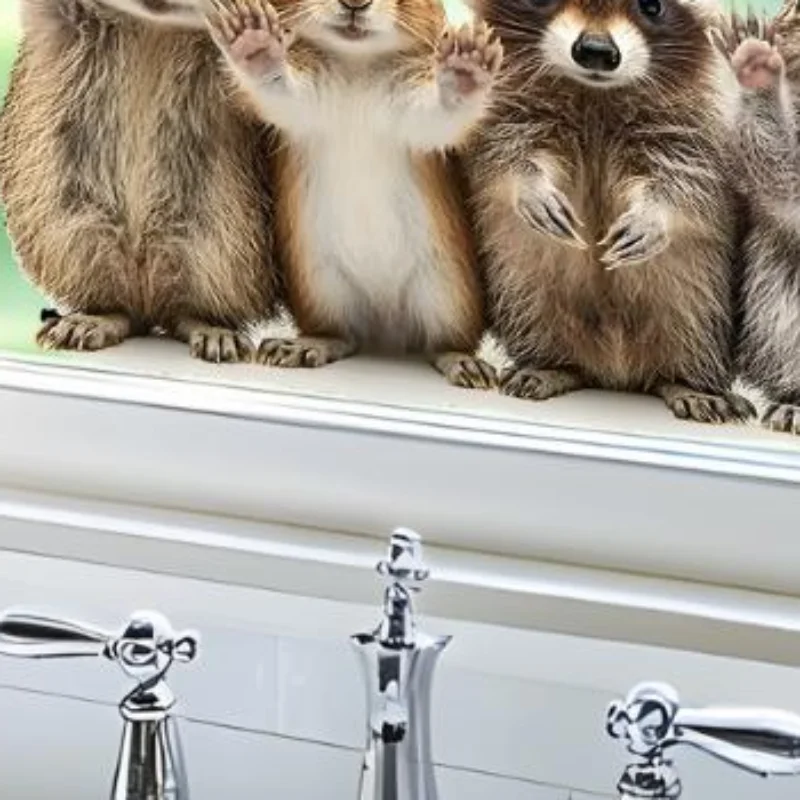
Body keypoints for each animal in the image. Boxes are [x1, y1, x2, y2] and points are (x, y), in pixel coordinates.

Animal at [0, 0, 279, 362]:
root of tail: (147, 295)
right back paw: (90, 321)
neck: (154, 25)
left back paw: (213, 331)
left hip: (225, 250)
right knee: (120, 307)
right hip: (71, 234)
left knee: (188, 310)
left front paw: (254, 40)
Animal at [203, 0, 503, 388]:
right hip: (321, 288)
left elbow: (439, 115)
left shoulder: (411, 114)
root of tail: (386, 332)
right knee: (343, 336)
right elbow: (278, 88)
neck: (356, 65)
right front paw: (252, 38)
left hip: (449, 295)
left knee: (444, 343)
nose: (355, 6)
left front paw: (468, 61)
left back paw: (464, 364)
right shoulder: (305, 103)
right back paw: (301, 347)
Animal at [463, 0, 755, 422]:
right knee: (530, 306)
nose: (597, 51)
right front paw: (529, 185)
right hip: (520, 287)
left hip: (704, 297)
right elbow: (502, 155)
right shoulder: (503, 110)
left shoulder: (694, 131)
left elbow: (687, 184)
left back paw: (687, 382)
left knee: (696, 324)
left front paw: (655, 216)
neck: (595, 95)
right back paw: (553, 365)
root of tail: (616, 374)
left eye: (652, 6)